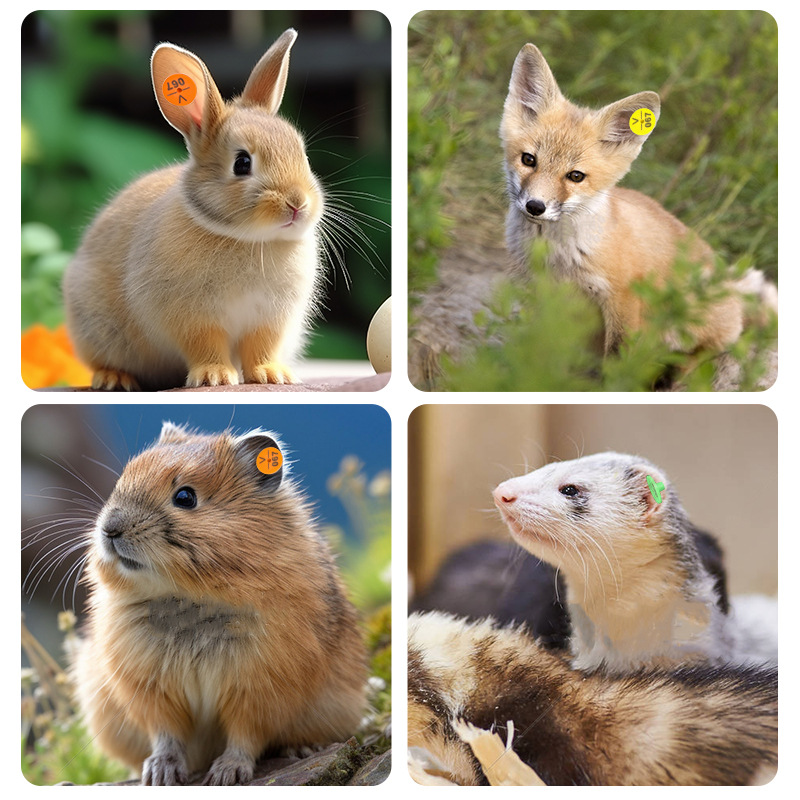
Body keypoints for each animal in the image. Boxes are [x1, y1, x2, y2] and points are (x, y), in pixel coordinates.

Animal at [62, 29, 324, 390]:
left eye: (302, 154)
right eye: (242, 163)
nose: (297, 203)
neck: (247, 239)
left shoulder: (270, 319)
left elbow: (261, 346)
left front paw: (273, 375)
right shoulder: (192, 316)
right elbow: (205, 343)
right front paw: (215, 376)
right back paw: (114, 378)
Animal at [70, 422, 367, 785]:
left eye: (185, 497)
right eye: (122, 480)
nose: (109, 529)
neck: (190, 596)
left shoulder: (259, 688)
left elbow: (245, 735)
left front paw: (226, 774)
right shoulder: (151, 690)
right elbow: (166, 734)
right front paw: (159, 773)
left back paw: (303, 749)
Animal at [500, 43, 777, 355]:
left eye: (575, 176)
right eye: (528, 160)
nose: (535, 206)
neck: (556, 257)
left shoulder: (624, 299)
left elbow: (617, 359)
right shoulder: (540, 296)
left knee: (701, 352)